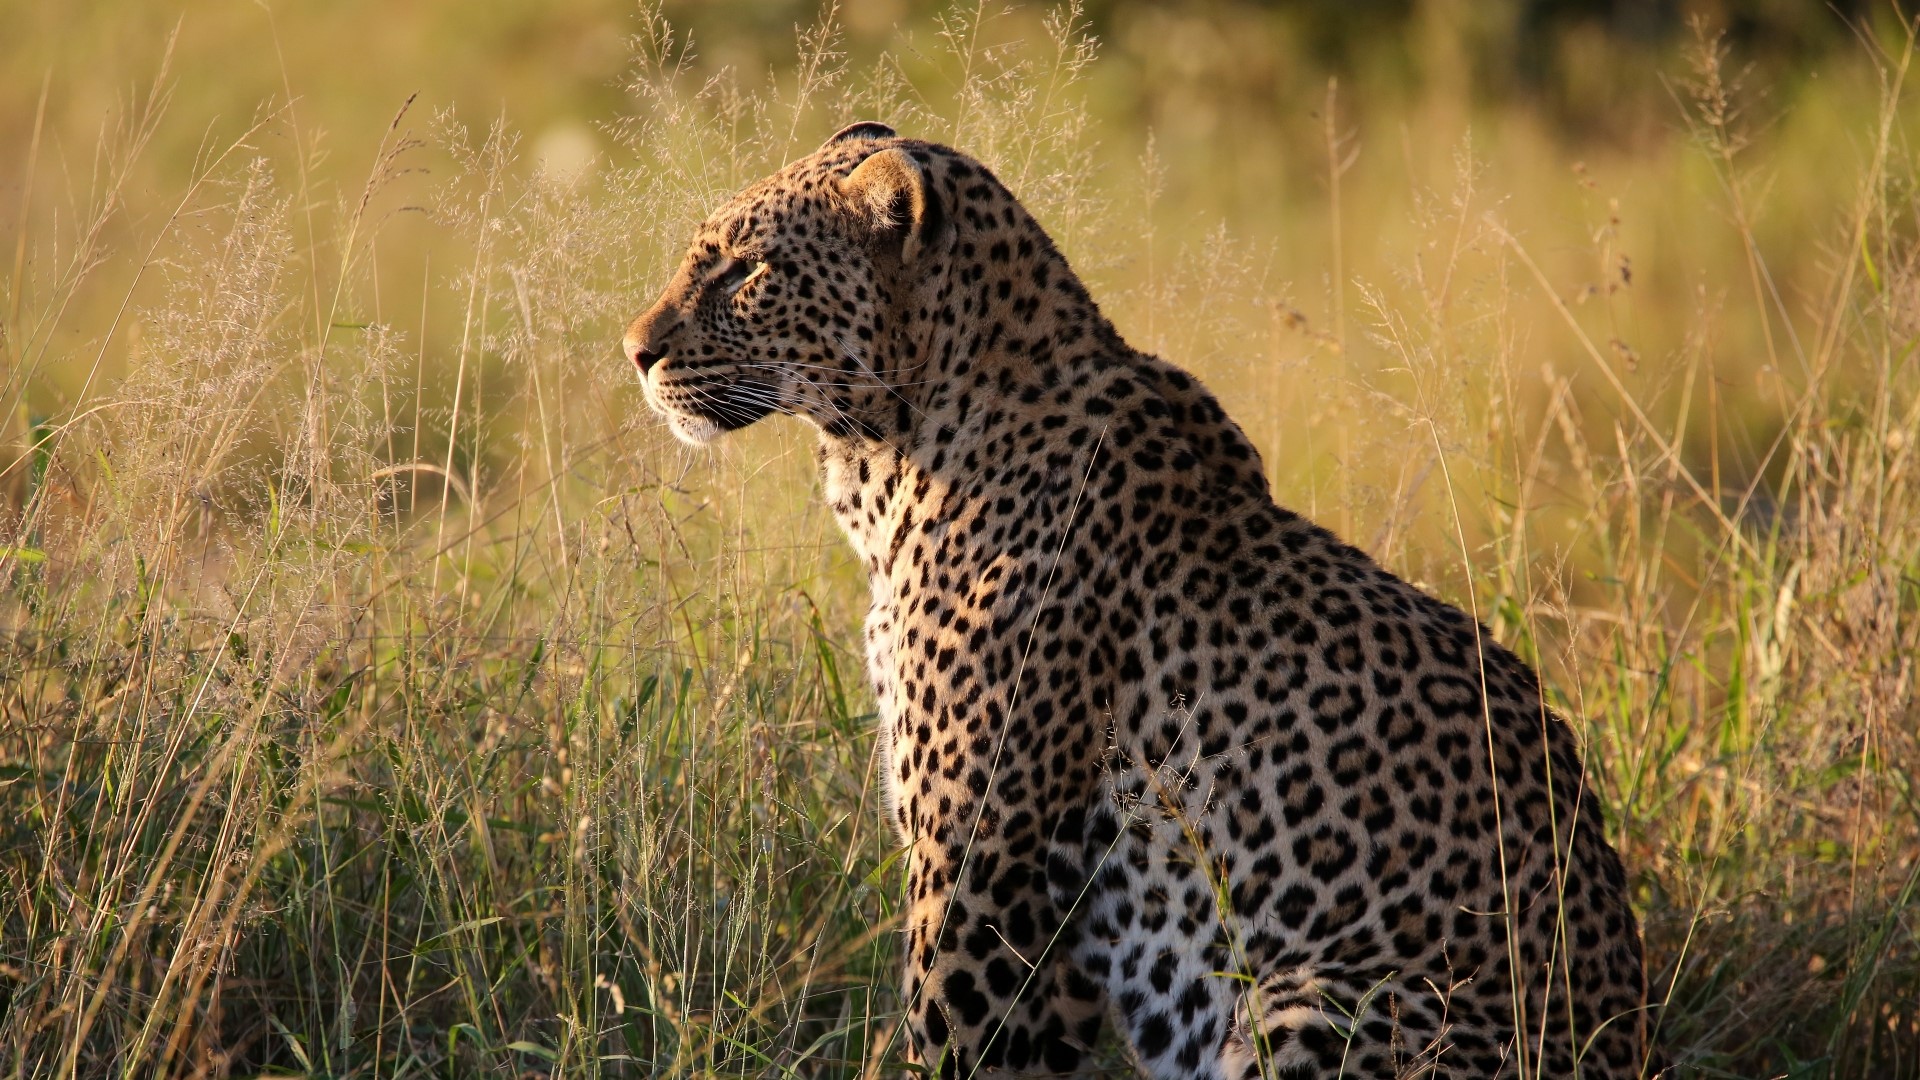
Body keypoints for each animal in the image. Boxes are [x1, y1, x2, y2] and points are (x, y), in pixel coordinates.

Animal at [622, 122, 1661, 1079]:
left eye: (747, 269)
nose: (634, 351)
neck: (892, 464)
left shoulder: (980, 864)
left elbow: (952, 1037)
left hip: (1316, 1003)